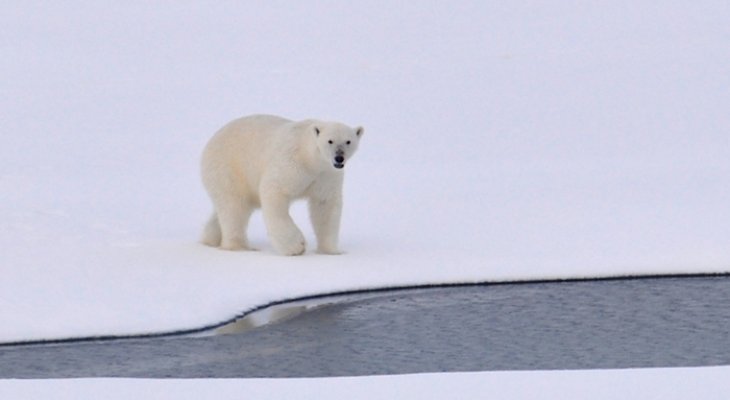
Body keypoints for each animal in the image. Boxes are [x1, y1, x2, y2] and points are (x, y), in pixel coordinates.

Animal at [199, 114, 362, 255]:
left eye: (348, 141)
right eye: (330, 141)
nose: (339, 157)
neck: (310, 158)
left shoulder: (326, 174)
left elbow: (325, 205)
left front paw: (331, 251)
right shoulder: (291, 163)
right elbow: (274, 190)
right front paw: (296, 246)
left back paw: (210, 238)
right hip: (228, 168)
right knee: (234, 206)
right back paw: (240, 247)